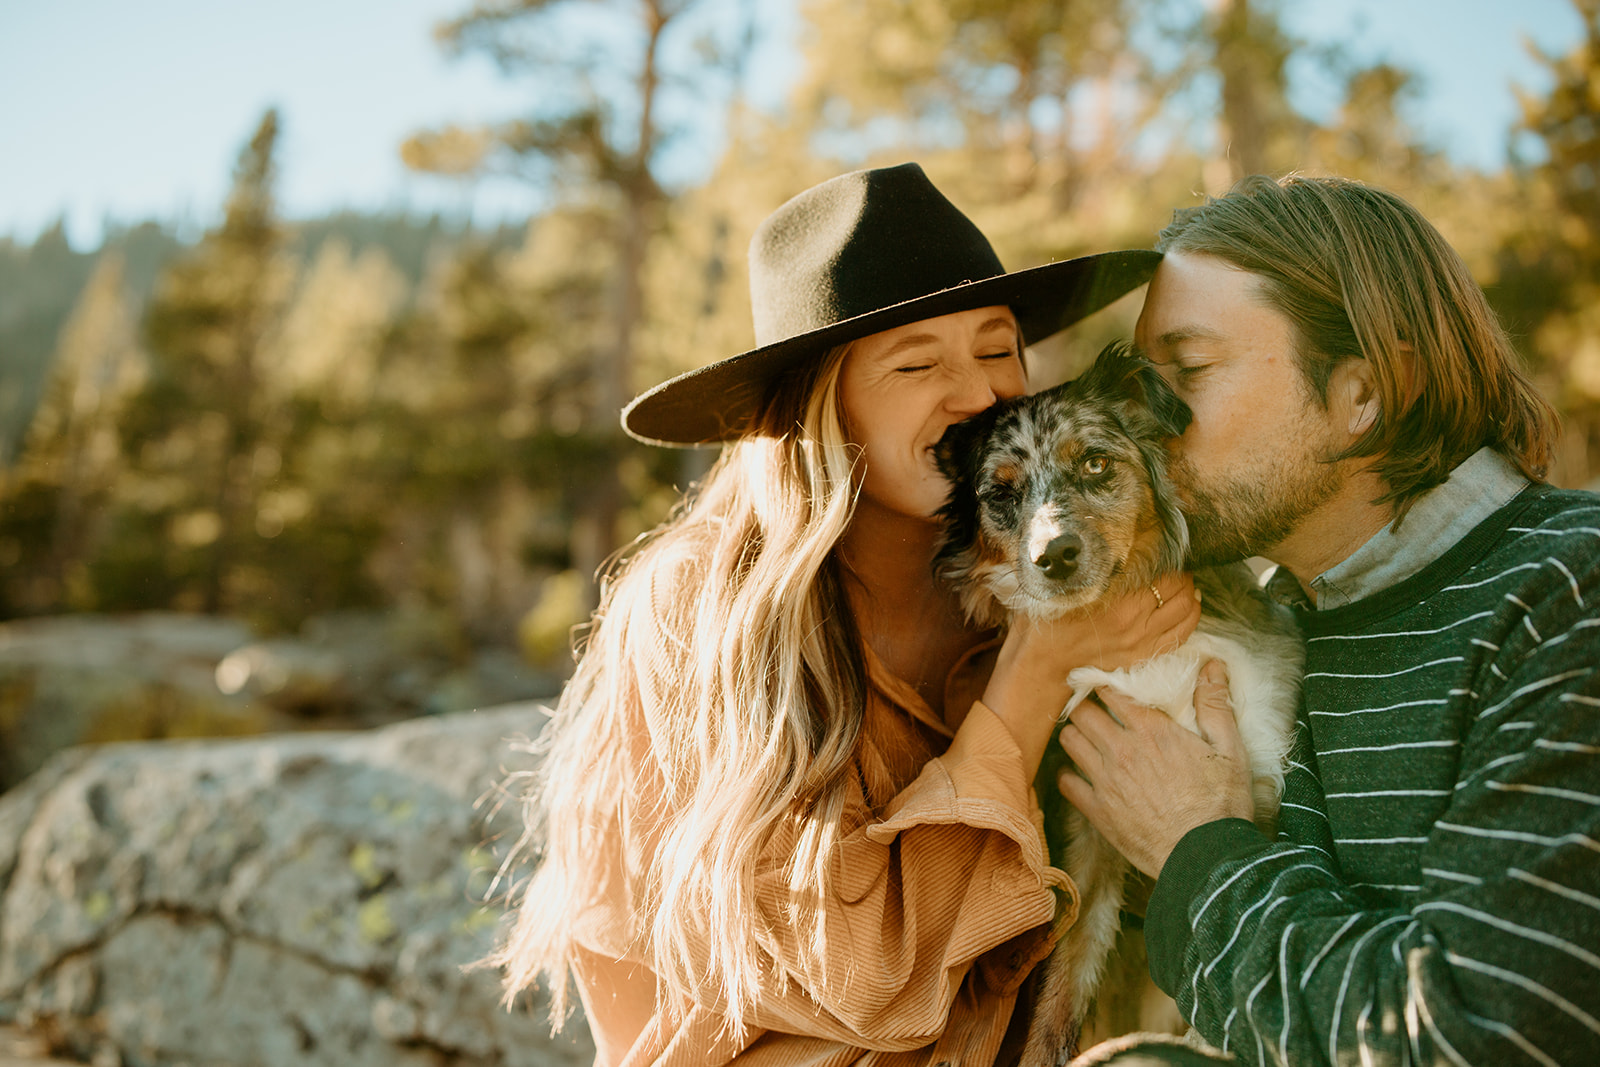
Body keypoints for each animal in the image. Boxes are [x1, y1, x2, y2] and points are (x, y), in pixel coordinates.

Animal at [934, 340, 1305, 1062]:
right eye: (1001, 492)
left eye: (1097, 463)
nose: (1054, 556)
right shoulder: (1089, 839)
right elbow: (1059, 998)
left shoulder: (1262, 779)